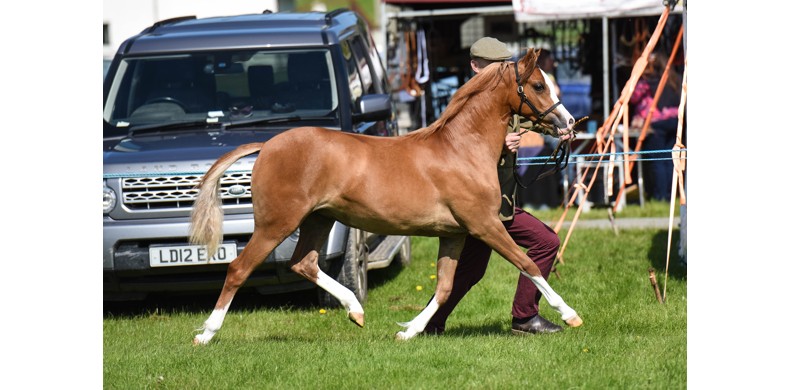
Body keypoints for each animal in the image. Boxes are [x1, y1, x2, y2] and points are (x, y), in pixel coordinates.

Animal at [189, 48, 584, 344]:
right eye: (538, 85)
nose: (568, 124)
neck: (461, 148)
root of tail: (267, 145)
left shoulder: (455, 234)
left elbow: (445, 287)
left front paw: (408, 331)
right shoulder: (485, 225)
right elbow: (527, 263)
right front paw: (570, 315)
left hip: (318, 219)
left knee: (303, 263)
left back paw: (357, 311)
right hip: (276, 223)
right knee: (239, 268)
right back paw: (206, 334)